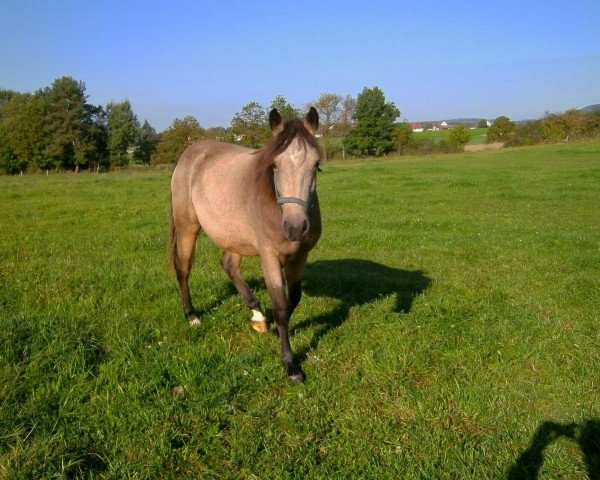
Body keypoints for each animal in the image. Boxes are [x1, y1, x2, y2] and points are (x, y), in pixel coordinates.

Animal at [169, 108, 322, 382]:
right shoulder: (269, 258)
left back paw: (258, 315)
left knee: (228, 264)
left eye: (315, 165)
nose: (295, 227)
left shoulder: (300, 257)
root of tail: (190, 153)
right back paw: (192, 315)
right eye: (274, 165)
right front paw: (290, 365)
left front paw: (275, 328)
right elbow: (281, 307)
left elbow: (292, 300)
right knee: (183, 268)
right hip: (188, 226)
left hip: (233, 236)